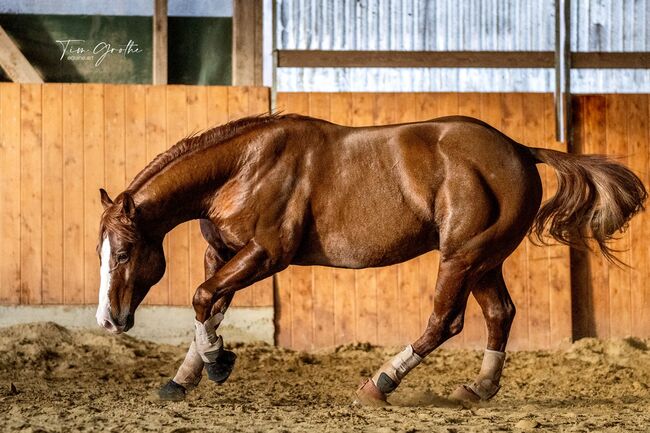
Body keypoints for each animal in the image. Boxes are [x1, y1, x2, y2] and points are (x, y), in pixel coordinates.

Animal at [95, 113, 644, 404]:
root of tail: (519, 149)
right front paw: (184, 378)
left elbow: (201, 299)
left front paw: (217, 363)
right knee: (499, 314)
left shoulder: (265, 255)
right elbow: (209, 306)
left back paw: (379, 384)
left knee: (444, 321)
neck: (244, 166)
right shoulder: (225, 253)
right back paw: (478, 389)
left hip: (461, 258)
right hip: (483, 262)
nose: (109, 320)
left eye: (122, 251)